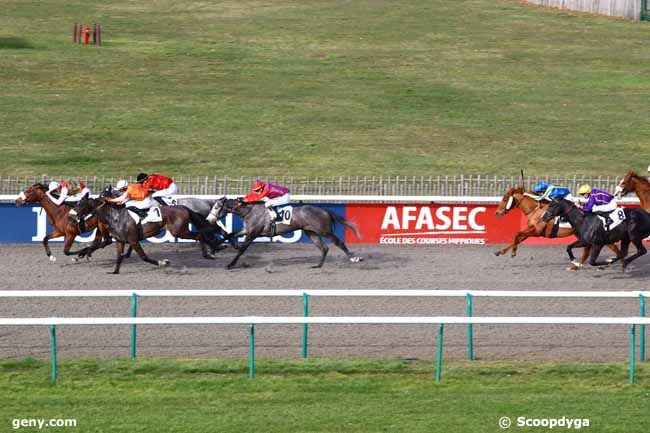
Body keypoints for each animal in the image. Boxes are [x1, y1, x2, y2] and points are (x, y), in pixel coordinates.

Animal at [72, 196, 216, 274]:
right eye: (77, 203)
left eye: (81, 204)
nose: (72, 215)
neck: (116, 217)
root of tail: (183, 207)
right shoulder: (120, 241)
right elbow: (119, 257)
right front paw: (115, 271)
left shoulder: (133, 240)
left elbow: (144, 257)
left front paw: (163, 262)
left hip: (179, 231)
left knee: (199, 235)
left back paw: (209, 254)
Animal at [208, 197, 362, 268]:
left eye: (216, 207)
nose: (209, 219)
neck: (249, 211)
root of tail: (324, 210)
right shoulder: (246, 230)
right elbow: (228, 235)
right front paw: (213, 249)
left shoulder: (252, 234)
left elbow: (242, 250)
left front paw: (230, 264)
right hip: (311, 233)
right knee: (324, 248)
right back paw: (317, 265)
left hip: (325, 231)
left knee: (339, 243)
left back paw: (354, 258)